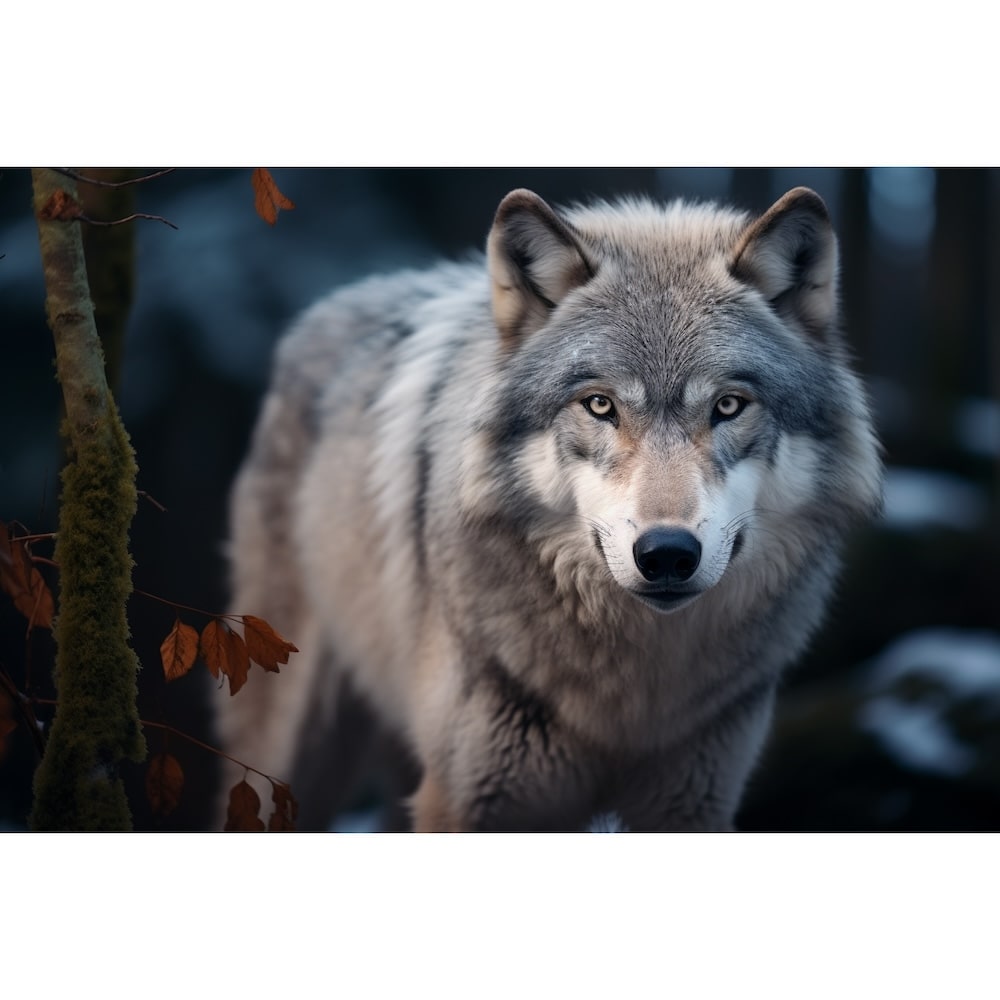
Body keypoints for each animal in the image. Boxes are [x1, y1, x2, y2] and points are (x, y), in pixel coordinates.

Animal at [216, 185, 883, 832]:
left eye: (727, 406)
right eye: (599, 405)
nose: (668, 554)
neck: (633, 692)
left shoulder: (691, 804)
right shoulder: (469, 800)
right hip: (291, 760)